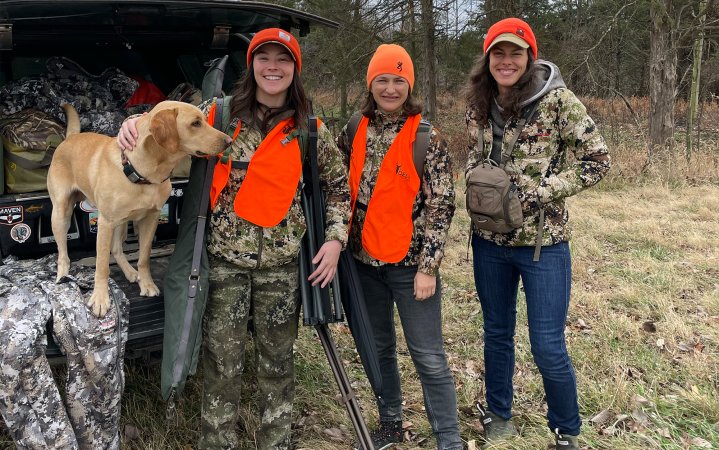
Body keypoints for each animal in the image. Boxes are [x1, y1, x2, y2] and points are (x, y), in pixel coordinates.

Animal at [49, 101, 229, 316]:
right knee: (63, 254)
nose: (229, 141)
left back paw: (130, 272)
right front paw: (100, 298)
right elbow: (102, 265)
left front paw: (147, 284)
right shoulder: (105, 222)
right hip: (61, 214)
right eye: (195, 123)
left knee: (117, 249)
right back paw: (62, 277)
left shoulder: (150, 219)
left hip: (121, 221)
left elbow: (143, 258)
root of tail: (71, 137)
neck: (142, 174)